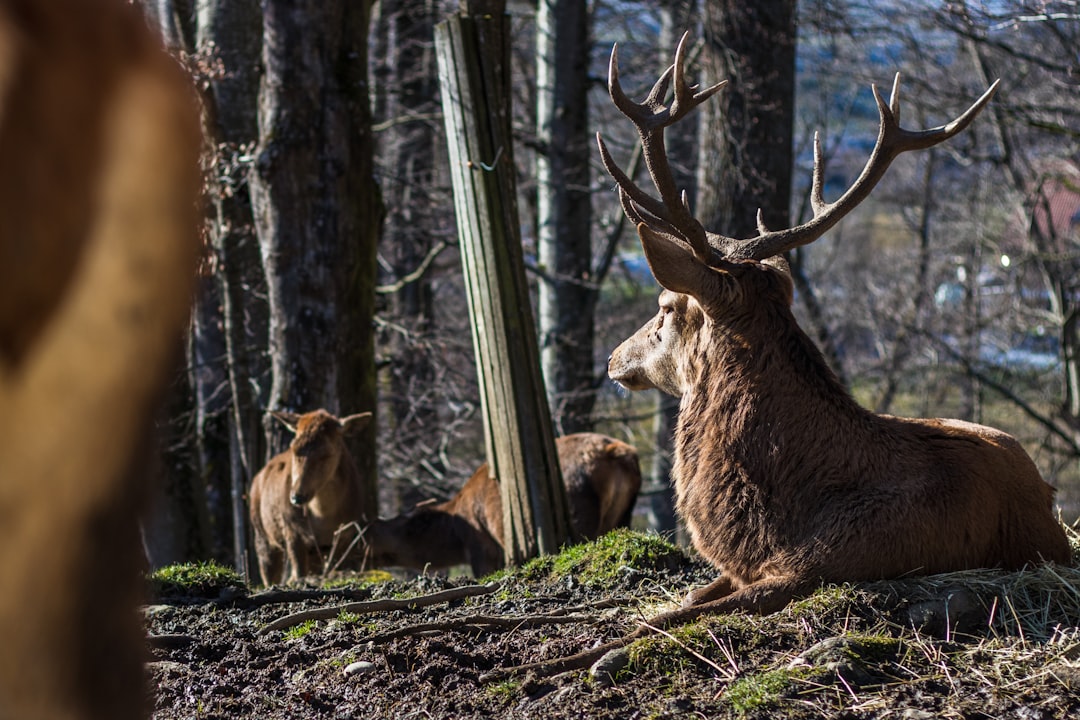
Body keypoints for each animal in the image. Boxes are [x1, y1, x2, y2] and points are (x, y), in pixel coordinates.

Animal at [358, 433, 639, 578]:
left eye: (400, 523)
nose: (366, 528)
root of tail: (618, 453)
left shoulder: (483, 545)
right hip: (623, 514)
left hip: (579, 509)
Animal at [600, 32, 1071, 626]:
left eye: (665, 306)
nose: (612, 357)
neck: (777, 526)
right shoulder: (741, 570)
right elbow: (688, 597)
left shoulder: (822, 567)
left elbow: (659, 618)